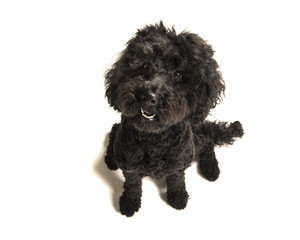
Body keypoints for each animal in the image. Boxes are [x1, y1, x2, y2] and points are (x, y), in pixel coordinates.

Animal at [104, 22, 243, 218]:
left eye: (178, 74)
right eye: (144, 65)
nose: (148, 96)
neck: (154, 138)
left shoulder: (179, 163)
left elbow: (177, 180)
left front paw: (178, 198)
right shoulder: (130, 165)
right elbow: (133, 185)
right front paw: (129, 202)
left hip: (196, 138)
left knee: (208, 142)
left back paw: (211, 168)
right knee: (113, 131)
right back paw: (110, 158)